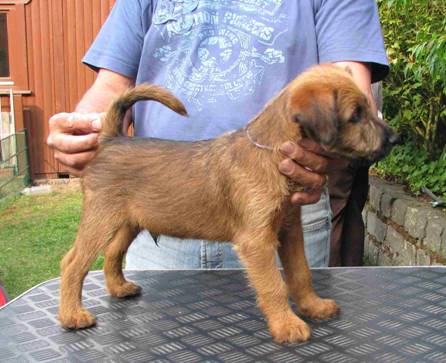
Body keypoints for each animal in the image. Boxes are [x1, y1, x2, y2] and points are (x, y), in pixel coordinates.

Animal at [58, 64, 398, 342]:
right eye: (356, 115)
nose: (395, 138)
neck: (271, 153)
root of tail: (111, 140)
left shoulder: (290, 229)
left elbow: (300, 273)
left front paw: (312, 306)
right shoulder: (257, 242)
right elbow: (274, 285)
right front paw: (286, 325)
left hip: (131, 221)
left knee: (113, 252)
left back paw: (119, 288)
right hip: (101, 218)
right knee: (73, 263)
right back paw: (72, 316)